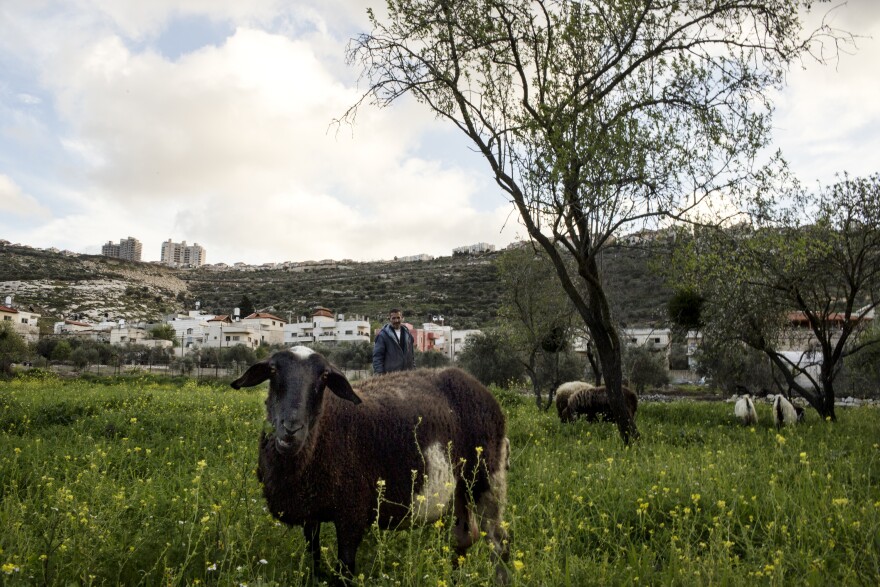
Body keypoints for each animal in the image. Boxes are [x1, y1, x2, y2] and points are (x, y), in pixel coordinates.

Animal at [230, 350, 512, 584]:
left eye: (324, 376)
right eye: (273, 370)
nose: (291, 429)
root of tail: (473, 382)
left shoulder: (352, 514)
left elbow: (345, 571)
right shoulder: (311, 512)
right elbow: (314, 558)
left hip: (488, 477)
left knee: (498, 542)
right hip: (460, 487)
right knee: (463, 537)